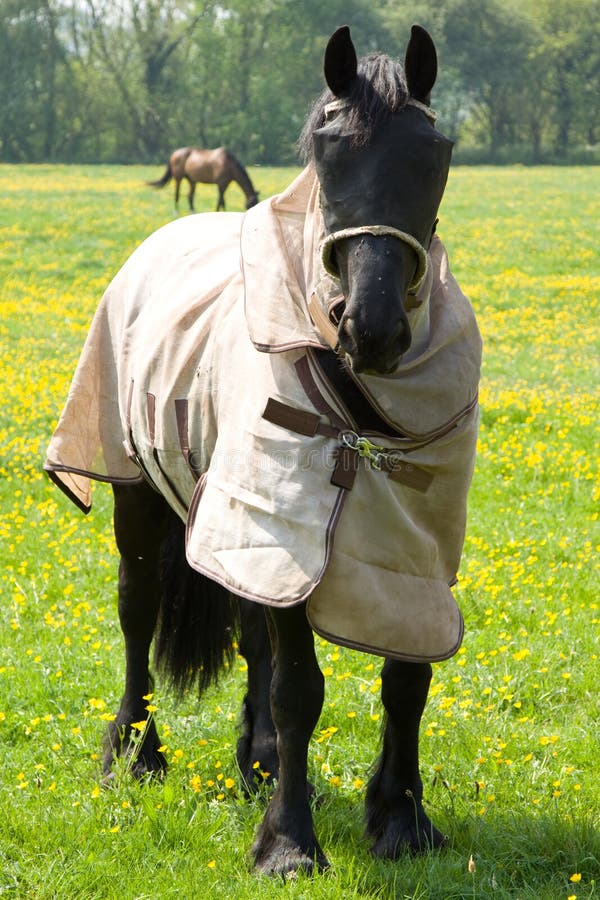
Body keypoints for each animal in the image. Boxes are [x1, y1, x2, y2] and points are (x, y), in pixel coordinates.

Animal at [44, 25, 481, 877]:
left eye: (435, 153)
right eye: (328, 153)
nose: (371, 325)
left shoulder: (414, 545)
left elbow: (406, 676)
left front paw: (402, 820)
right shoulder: (286, 528)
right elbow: (300, 687)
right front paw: (288, 844)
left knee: (251, 636)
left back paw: (262, 759)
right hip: (142, 497)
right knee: (137, 610)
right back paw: (135, 754)